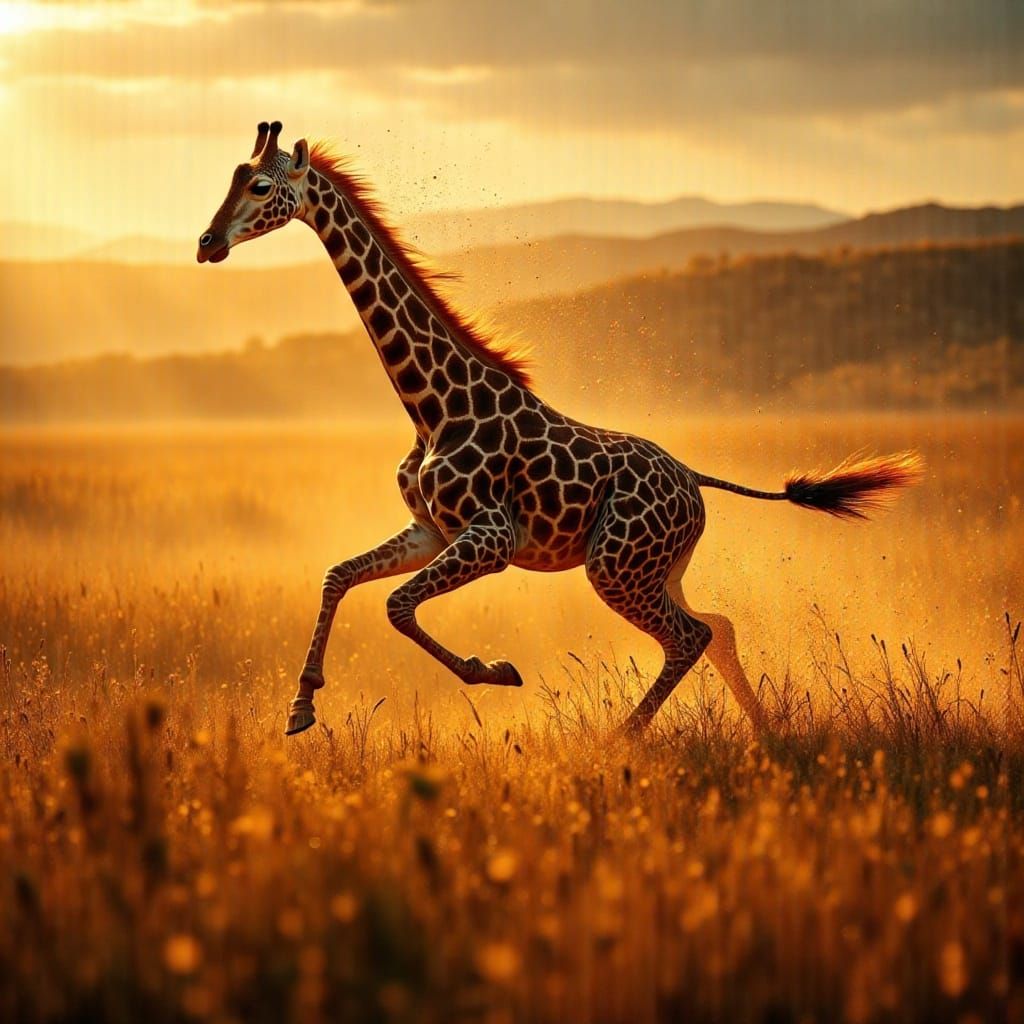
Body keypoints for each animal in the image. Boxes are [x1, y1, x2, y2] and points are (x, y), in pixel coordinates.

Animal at [198, 122, 922, 737]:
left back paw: (620, 739)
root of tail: (693, 481)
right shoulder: (430, 529)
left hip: (616, 565)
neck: (432, 406)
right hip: (658, 568)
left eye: (259, 187)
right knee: (716, 625)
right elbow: (338, 575)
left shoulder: (490, 537)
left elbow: (396, 606)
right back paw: (766, 732)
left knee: (689, 636)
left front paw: (494, 671)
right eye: (232, 177)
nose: (208, 244)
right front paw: (300, 706)